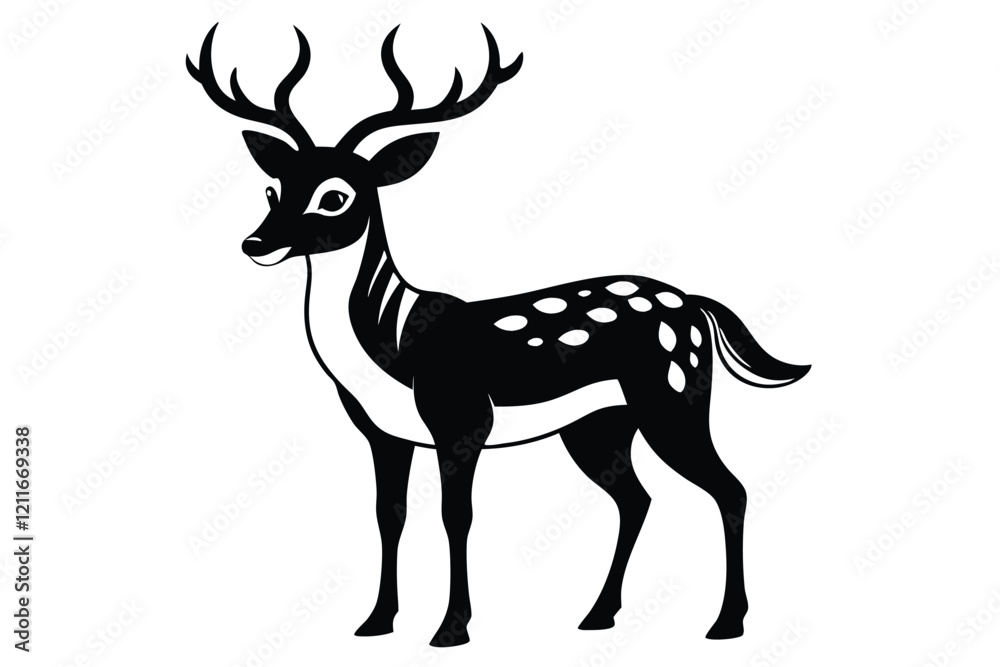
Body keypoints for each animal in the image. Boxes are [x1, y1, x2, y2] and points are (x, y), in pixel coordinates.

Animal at [187, 22, 810, 647]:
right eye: (273, 189)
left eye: (335, 195)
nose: (255, 243)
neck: (392, 343)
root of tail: (697, 305)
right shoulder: (381, 433)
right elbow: (389, 515)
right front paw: (376, 622)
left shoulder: (462, 419)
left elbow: (455, 516)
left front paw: (450, 629)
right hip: (600, 425)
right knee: (637, 498)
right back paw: (598, 614)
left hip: (674, 397)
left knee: (730, 487)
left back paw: (726, 623)